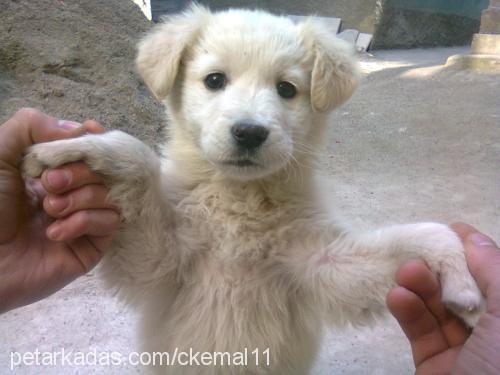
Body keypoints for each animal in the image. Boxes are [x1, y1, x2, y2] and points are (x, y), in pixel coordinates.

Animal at [23, 5, 484, 375]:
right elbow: (134, 154)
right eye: (214, 80)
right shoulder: (161, 258)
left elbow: (425, 232)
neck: (240, 200)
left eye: (286, 89)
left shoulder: (322, 263)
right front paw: (73, 146)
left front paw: (462, 284)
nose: (249, 132)